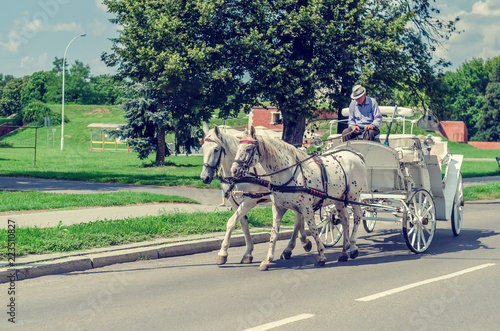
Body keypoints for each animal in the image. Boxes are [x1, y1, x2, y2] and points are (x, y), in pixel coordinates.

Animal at [200, 124, 312, 268]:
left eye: (216, 149)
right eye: (203, 148)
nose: (204, 177)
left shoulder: (249, 200)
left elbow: (231, 222)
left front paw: (222, 253)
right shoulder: (233, 201)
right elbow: (243, 224)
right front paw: (248, 253)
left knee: (298, 218)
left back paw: (293, 246)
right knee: (299, 217)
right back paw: (301, 241)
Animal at [231, 126, 368, 272]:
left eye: (248, 149)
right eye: (238, 147)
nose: (234, 170)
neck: (288, 173)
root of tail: (356, 155)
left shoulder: (306, 208)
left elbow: (313, 230)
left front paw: (321, 256)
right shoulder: (278, 208)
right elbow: (274, 234)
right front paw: (267, 260)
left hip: (354, 196)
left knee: (358, 216)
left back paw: (352, 247)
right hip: (339, 200)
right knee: (346, 219)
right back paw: (343, 252)